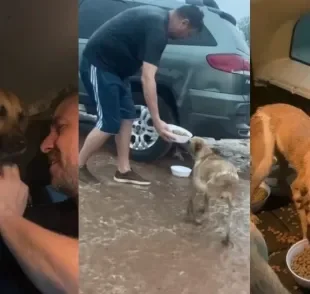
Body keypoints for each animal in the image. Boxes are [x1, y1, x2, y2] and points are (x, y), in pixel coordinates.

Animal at [251, 103, 310, 241]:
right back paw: (251, 217)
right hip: (264, 165)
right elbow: (304, 222)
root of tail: (263, 107)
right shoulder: (298, 189)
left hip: (283, 157)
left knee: (282, 179)